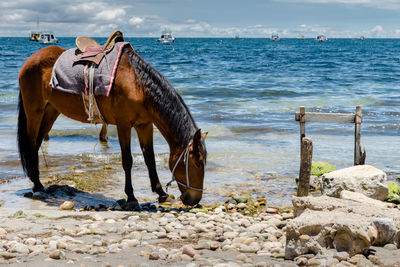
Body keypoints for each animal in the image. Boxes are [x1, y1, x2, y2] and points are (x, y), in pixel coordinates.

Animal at [17, 44, 208, 211]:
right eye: (198, 163)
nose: (194, 199)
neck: (138, 86)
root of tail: (30, 60)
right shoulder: (124, 125)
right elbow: (127, 160)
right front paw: (131, 198)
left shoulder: (144, 125)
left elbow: (150, 159)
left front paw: (161, 193)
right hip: (35, 111)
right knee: (31, 144)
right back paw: (38, 186)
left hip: (51, 111)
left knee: (37, 144)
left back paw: (37, 182)